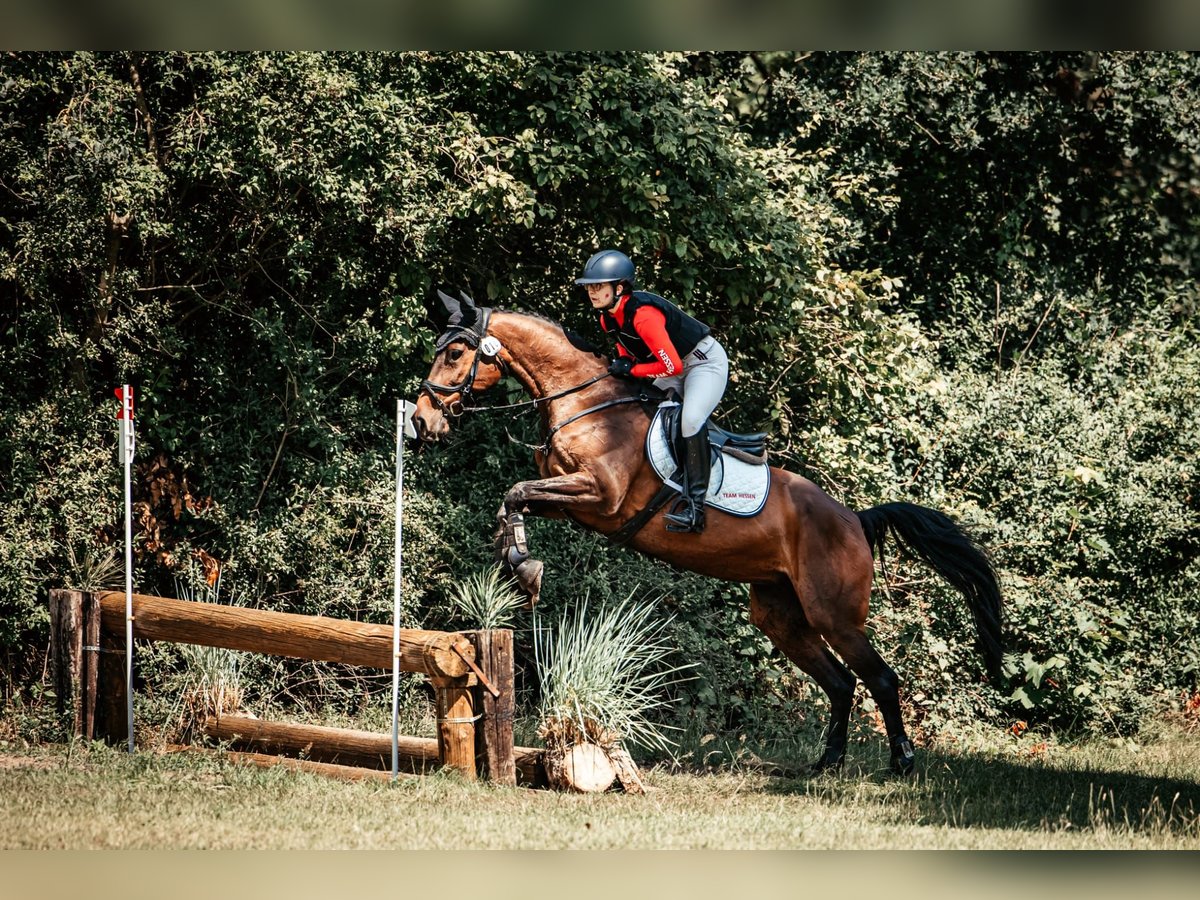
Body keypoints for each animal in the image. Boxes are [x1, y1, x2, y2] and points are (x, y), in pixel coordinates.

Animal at [412, 289, 1003, 777]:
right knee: (840, 683)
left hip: (832, 612)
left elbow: (516, 491)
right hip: (781, 614)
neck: (583, 401)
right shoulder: (571, 498)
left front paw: (524, 566)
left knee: (879, 679)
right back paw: (826, 764)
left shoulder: (600, 496)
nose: (421, 421)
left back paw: (900, 763)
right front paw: (516, 561)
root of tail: (855, 519)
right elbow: (515, 496)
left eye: (456, 354)